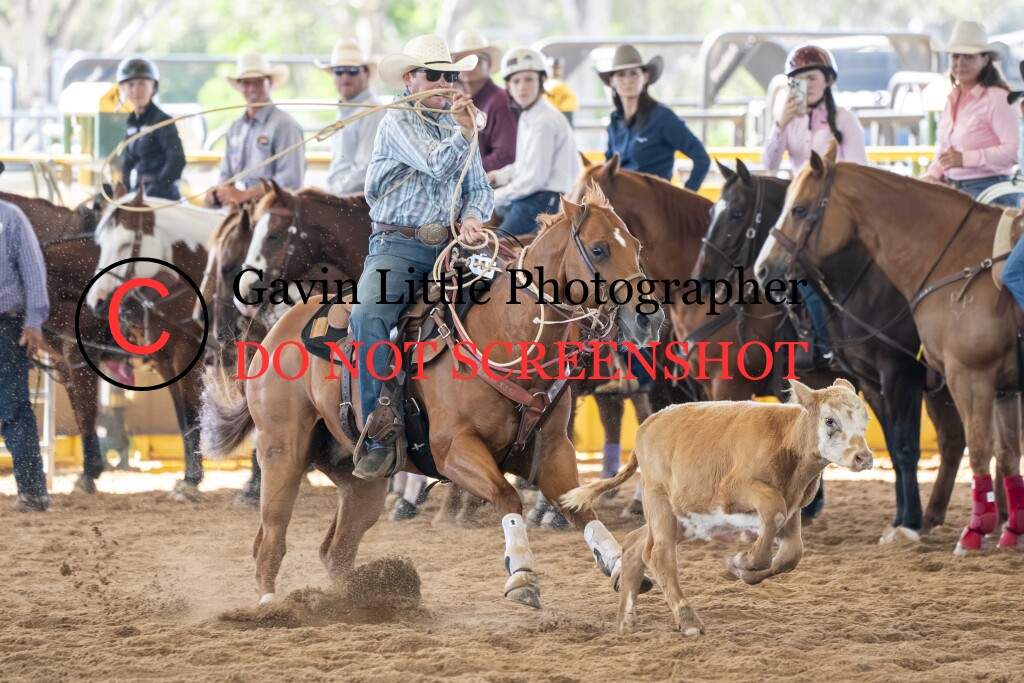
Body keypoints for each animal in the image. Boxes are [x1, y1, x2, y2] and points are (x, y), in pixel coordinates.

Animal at [86, 187, 223, 501]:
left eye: (126, 244)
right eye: (101, 243)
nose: (96, 302)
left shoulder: (189, 357)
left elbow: (192, 413)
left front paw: (191, 482)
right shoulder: (167, 361)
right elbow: (184, 418)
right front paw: (189, 478)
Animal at [201, 186, 665, 607]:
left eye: (638, 246)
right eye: (599, 249)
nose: (650, 318)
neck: (502, 334)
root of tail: (277, 331)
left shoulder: (551, 448)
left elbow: (579, 508)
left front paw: (619, 564)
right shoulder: (453, 449)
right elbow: (506, 495)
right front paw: (521, 574)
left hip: (359, 482)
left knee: (336, 550)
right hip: (282, 453)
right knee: (271, 538)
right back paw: (270, 606)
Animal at [561, 378, 873, 636]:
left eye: (865, 421)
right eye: (830, 420)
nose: (864, 458)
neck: (786, 439)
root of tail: (649, 423)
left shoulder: (795, 504)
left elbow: (791, 555)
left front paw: (742, 569)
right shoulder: (736, 491)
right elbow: (773, 512)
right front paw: (742, 561)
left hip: (687, 517)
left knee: (636, 543)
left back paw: (626, 619)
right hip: (659, 499)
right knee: (659, 553)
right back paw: (687, 620)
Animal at [700, 160, 968, 539]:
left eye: (736, 212)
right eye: (712, 211)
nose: (702, 273)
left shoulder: (900, 376)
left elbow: (904, 447)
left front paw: (907, 522)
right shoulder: (870, 382)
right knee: (954, 439)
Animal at [755, 145, 1023, 553]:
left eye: (799, 209)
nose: (762, 269)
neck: (959, 260)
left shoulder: (958, 376)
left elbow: (972, 449)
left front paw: (971, 530)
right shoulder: (993, 386)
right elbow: (1004, 453)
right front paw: (1008, 530)